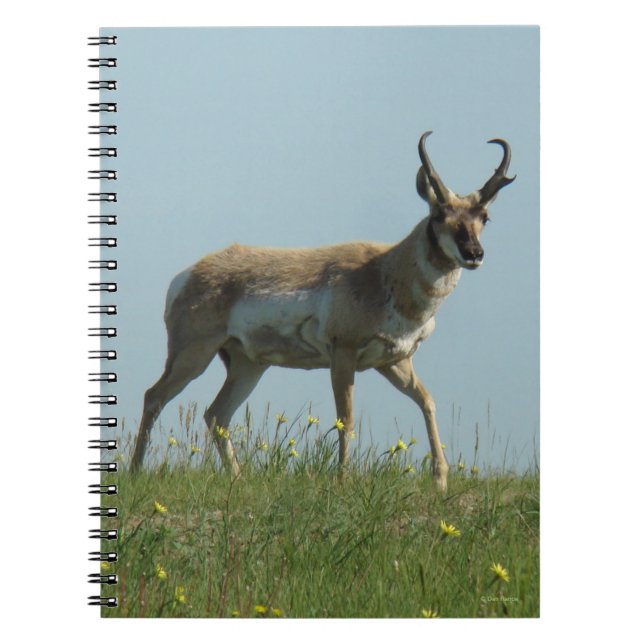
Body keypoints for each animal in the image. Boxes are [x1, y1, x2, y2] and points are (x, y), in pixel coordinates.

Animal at [131, 131, 515, 490]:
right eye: (438, 214)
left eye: (484, 216)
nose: (473, 253)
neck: (385, 270)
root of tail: (187, 274)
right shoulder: (343, 355)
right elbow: (346, 419)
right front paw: (343, 480)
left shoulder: (395, 362)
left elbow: (428, 402)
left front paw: (440, 480)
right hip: (193, 355)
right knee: (155, 396)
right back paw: (135, 471)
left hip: (247, 365)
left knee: (215, 414)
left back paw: (237, 479)